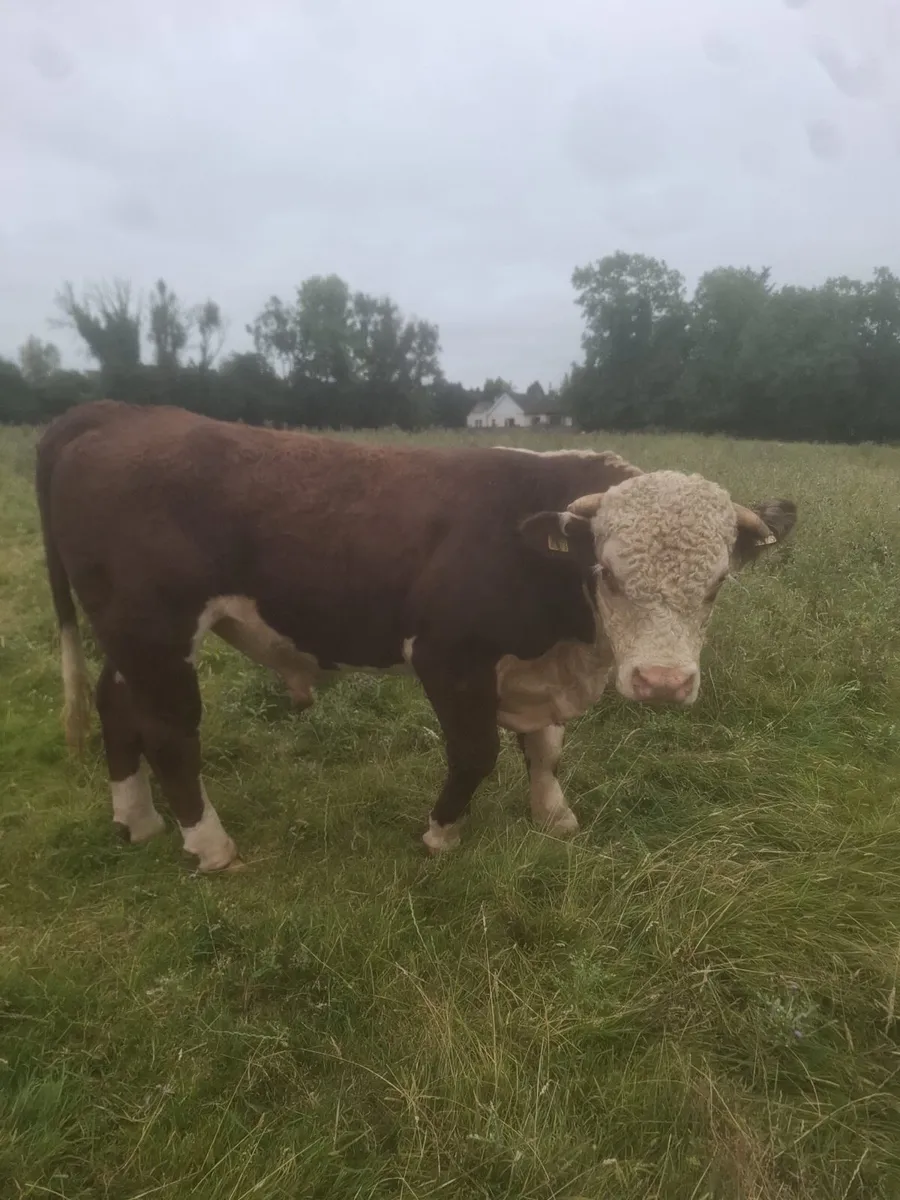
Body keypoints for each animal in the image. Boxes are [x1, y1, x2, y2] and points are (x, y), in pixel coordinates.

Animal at [36, 400, 797, 871]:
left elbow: (547, 748)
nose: (662, 684)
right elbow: (476, 752)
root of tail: (117, 413)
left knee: (116, 706)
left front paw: (552, 816)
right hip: (156, 633)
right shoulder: (448, 655)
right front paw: (441, 833)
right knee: (169, 735)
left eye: (717, 583)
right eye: (606, 573)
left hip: (129, 638)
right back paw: (211, 846)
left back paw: (135, 821)